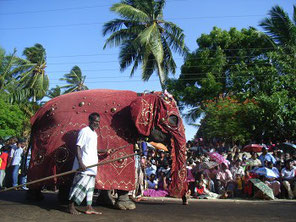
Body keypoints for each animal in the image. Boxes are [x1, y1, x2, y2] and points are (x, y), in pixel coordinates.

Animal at [26, 88, 186, 208]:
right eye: (174, 119)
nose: (184, 201)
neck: (141, 95)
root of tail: (37, 115)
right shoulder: (119, 131)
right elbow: (121, 166)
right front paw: (127, 206)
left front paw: (107, 202)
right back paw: (36, 198)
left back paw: (57, 199)